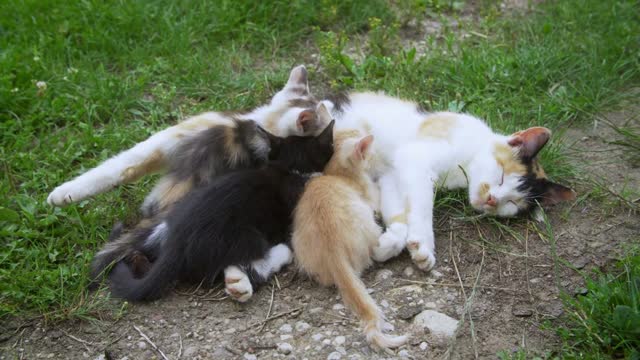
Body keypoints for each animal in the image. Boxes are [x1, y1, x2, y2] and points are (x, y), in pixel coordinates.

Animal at [292, 134, 408, 348]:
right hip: (369, 223)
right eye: (371, 153)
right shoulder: (373, 198)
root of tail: (334, 252)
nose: (375, 158)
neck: (336, 172)